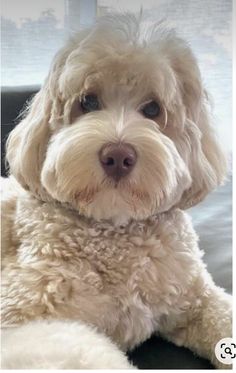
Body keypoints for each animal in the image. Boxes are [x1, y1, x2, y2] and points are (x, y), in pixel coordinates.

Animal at [0, 13, 231, 368]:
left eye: (153, 109)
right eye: (87, 101)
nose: (118, 156)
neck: (116, 232)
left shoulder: (195, 297)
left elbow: (220, 315)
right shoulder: (22, 318)